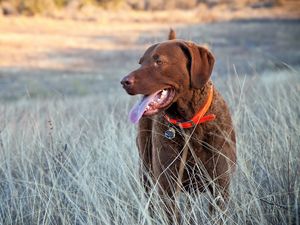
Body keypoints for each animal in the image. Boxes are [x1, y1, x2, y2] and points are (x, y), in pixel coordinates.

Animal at [120, 29, 236, 220]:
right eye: (141, 62)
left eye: (159, 61)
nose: (124, 82)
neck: (189, 124)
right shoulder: (167, 191)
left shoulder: (220, 188)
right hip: (146, 169)